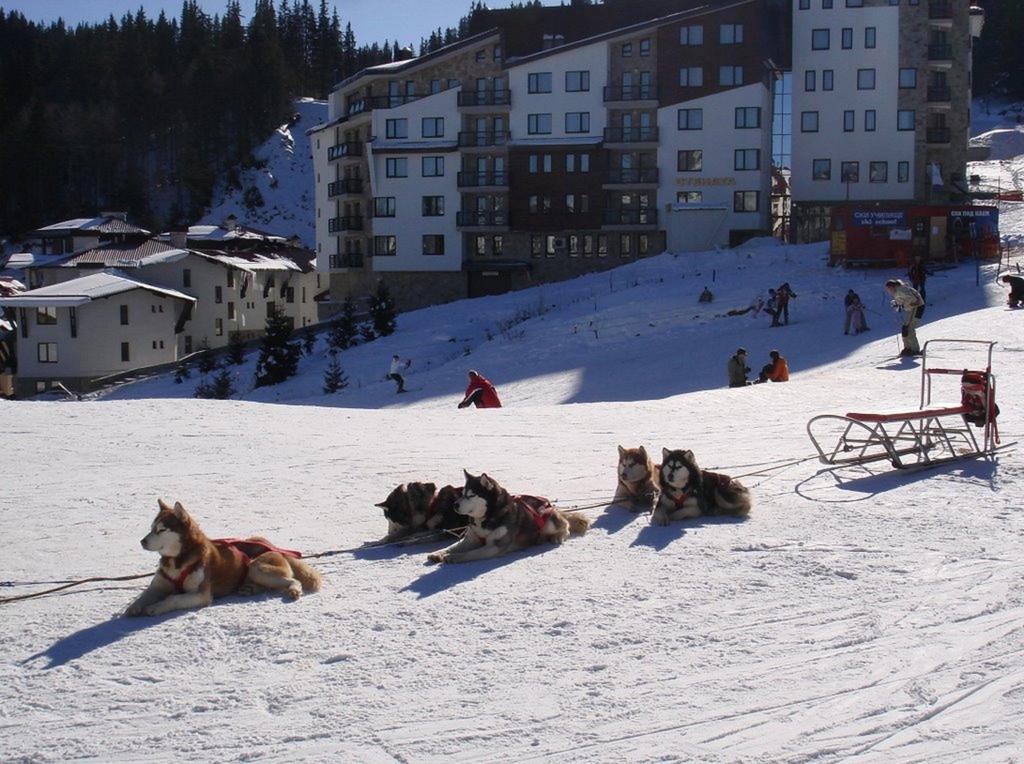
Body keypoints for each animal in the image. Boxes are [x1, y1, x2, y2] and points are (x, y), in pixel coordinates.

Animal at [125, 497, 321, 614]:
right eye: (151, 528)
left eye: (161, 530)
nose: (142, 541)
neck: (176, 561)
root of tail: (273, 548)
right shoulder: (157, 586)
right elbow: (144, 596)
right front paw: (133, 608)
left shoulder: (201, 594)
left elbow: (173, 598)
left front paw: (155, 607)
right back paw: (250, 589)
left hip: (257, 567)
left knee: (293, 580)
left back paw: (293, 589)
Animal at [425, 467, 593, 561]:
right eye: (462, 494)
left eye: (471, 495)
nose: (455, 505)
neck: (486, 520)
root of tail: (551, 505)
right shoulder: (470, 540)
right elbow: (452, 547)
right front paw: (439, 553)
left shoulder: (494, 546)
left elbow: (469, 554)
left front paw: (452, 558)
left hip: (549, 521)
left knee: (566, 526)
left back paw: (557, 536)